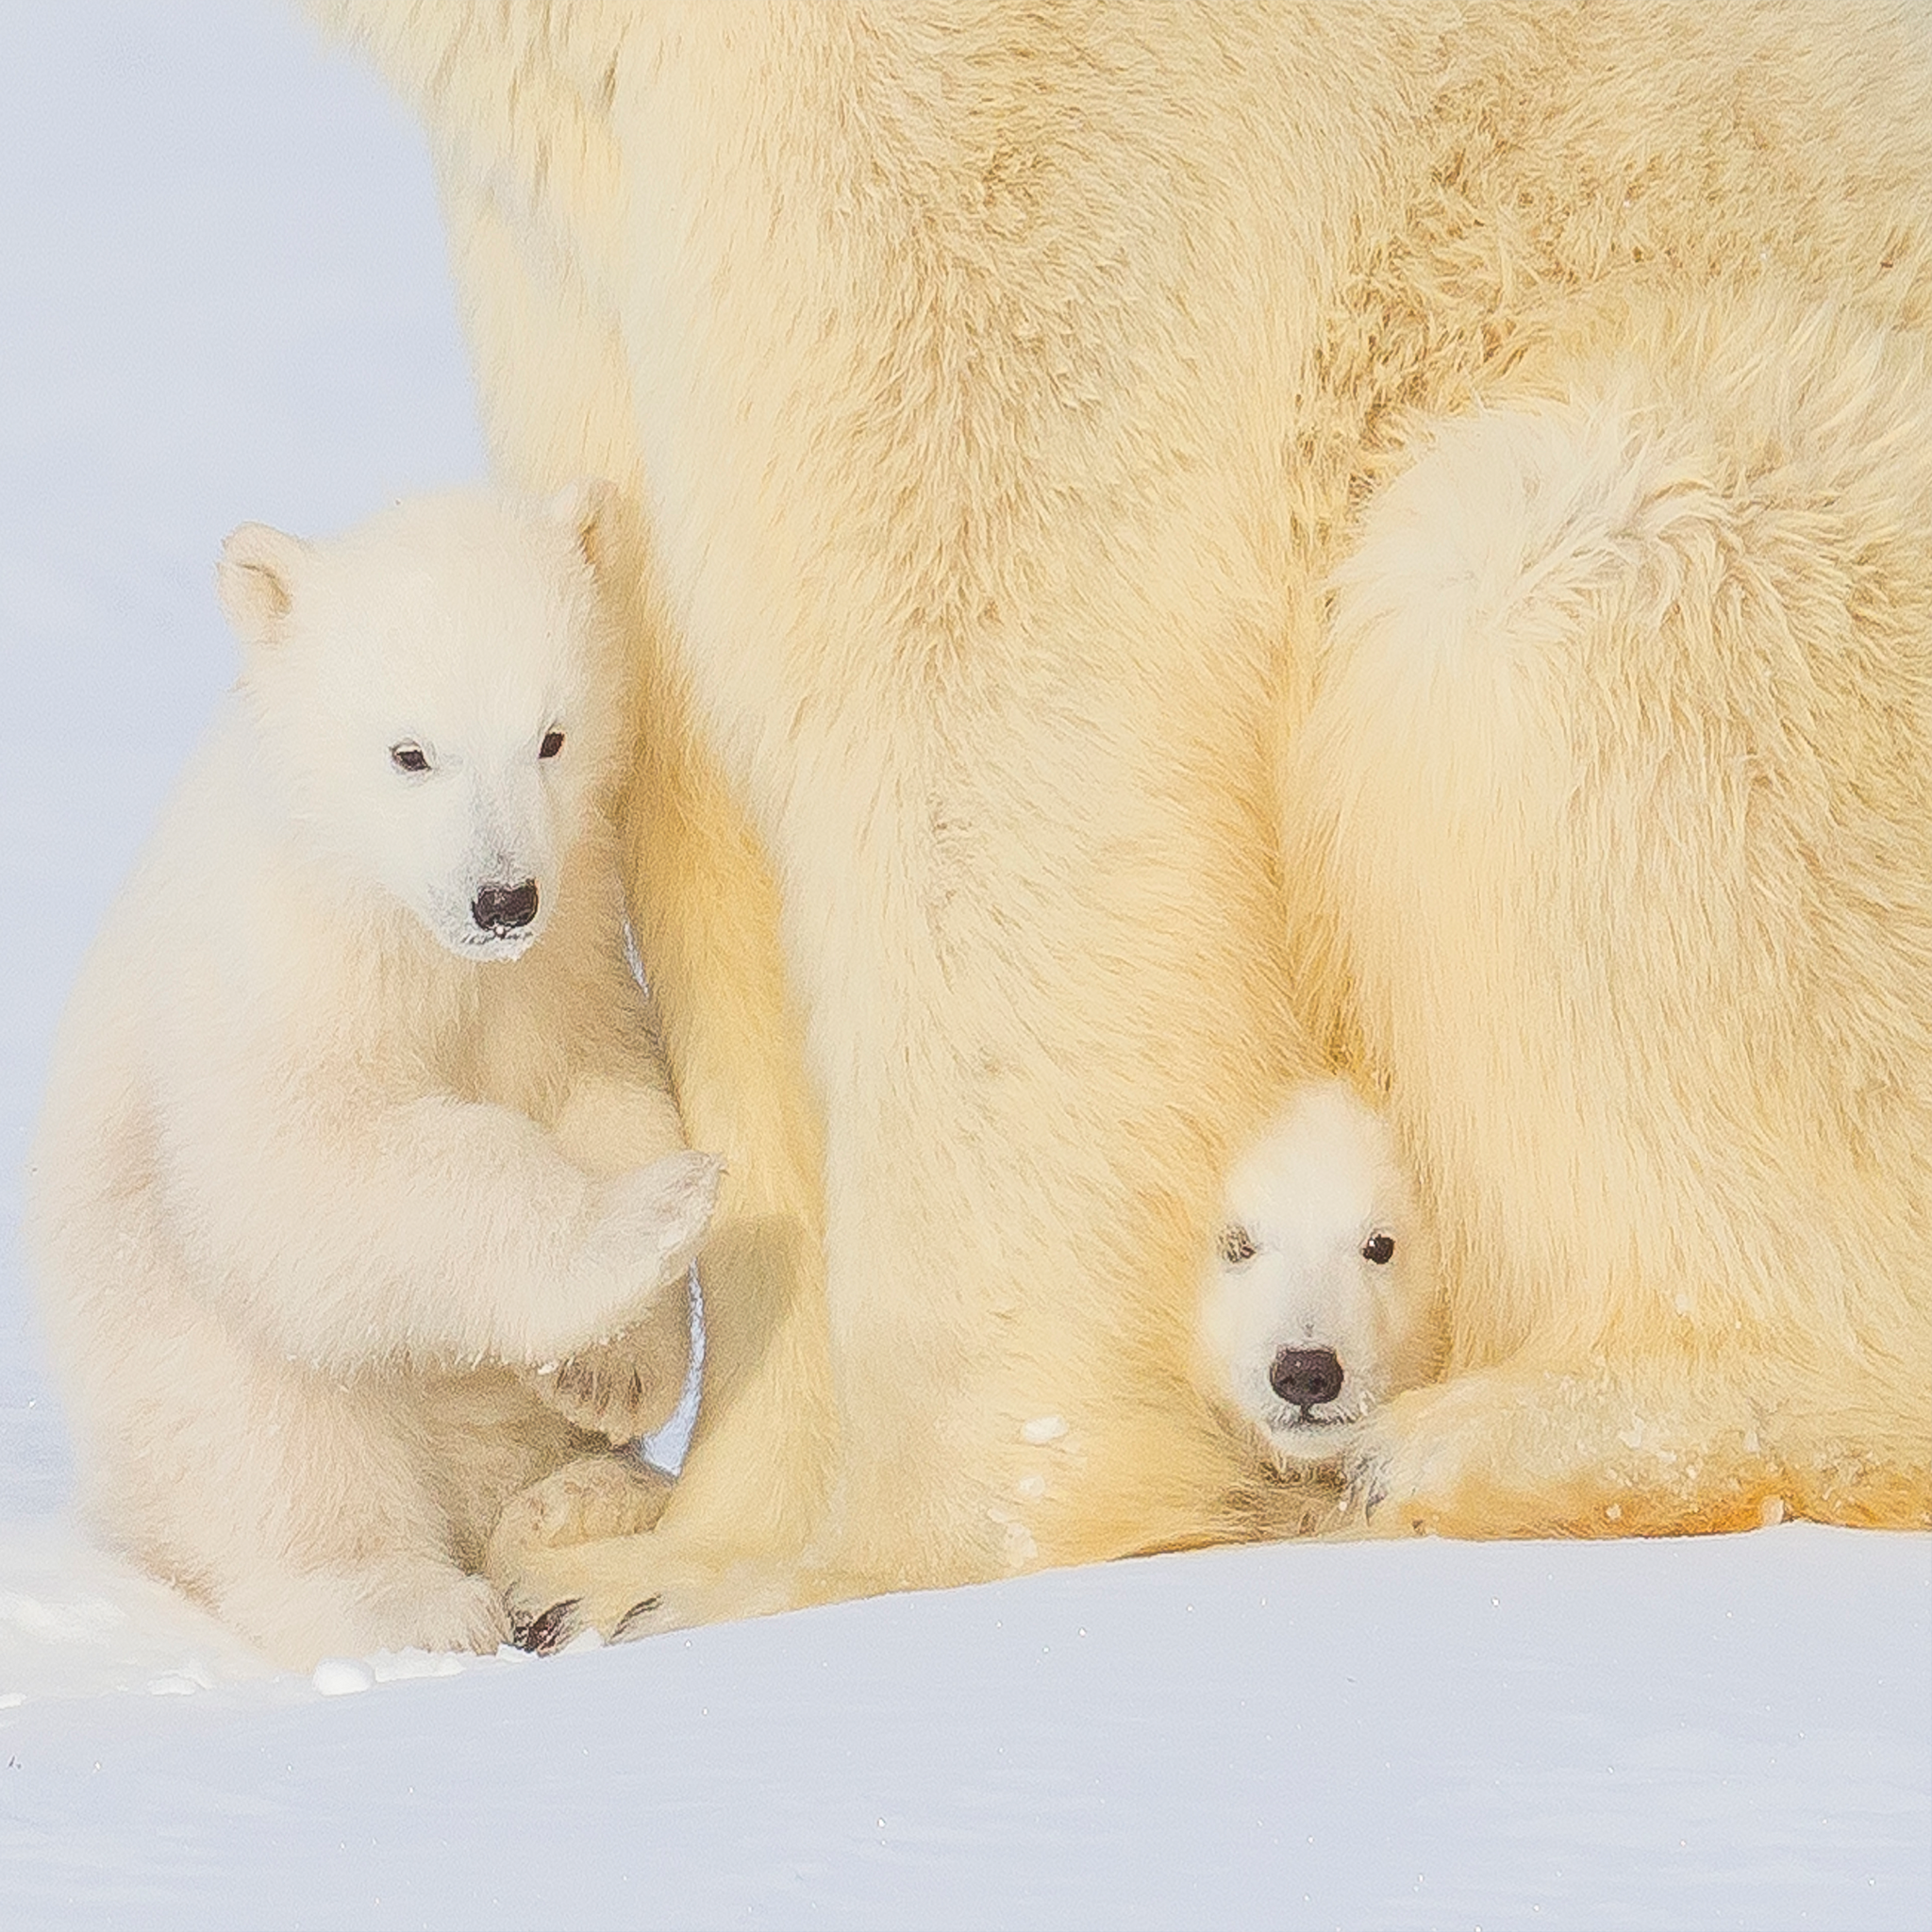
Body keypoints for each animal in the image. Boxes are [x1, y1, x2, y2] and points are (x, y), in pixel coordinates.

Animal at [25, 487, 718, 1667]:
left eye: (551, 736)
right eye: (410, 752)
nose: (502, 898)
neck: (399, 916)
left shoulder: (565, 949)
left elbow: (601, 1085)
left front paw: (612, 1367)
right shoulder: (282, 959)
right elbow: (303, 1158)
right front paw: (649, 1216)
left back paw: (582, 1506)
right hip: (158, 1342)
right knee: (277, 1431)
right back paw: (416, 1600)